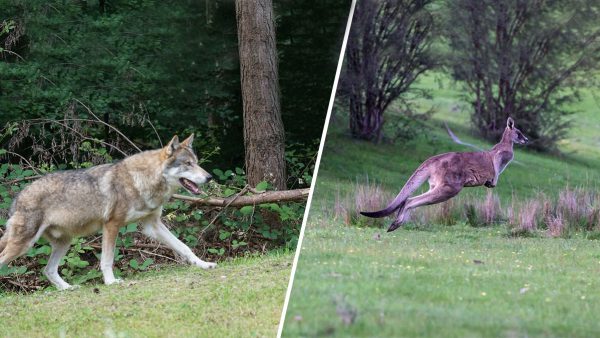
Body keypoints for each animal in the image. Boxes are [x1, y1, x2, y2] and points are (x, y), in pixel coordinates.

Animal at [0, 135, 216, 290]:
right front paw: (111, 282)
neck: (142, 180)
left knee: (48, 270)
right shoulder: (111, 225)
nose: (209, 177)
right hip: (25, 245)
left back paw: (68, 288)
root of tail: (17, 198)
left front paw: (203, 264)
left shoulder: (152, 226)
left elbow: (184, 247)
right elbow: (107, 259)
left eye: (196, 162)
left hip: (63, 243)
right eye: (188, 164)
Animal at [358, 117, 528, 232]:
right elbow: (496, 168)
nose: (527, 140)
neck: (506, 144)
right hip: (450, 185)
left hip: (437, 184)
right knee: (410, 200)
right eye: (519, 133)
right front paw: (492, 182)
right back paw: (396, 224)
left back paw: (395, 224)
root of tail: (433, 160)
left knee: (408, 199)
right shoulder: (500, 158)